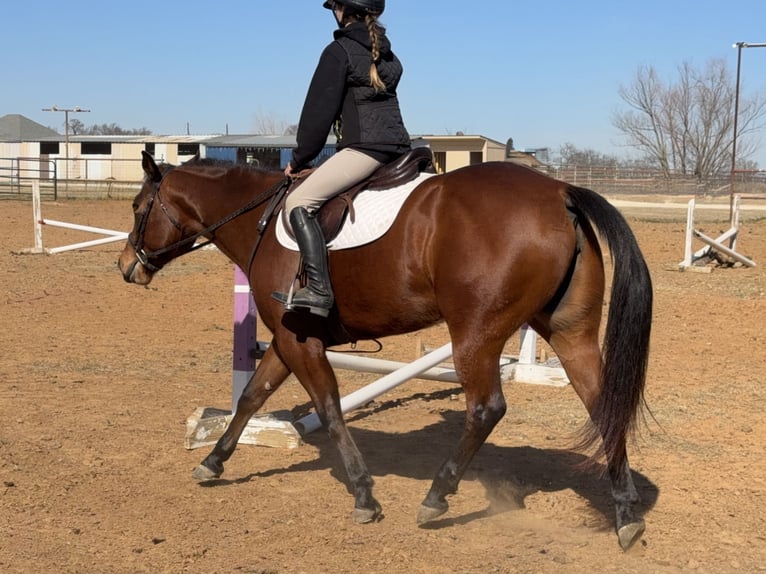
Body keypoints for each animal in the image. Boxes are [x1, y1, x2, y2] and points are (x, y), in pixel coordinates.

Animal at [118, 151, 652, 550]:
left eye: (139, 208)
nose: (126, 267)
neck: (260, 221)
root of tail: (558, 192)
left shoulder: (299, 342)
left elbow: (328, 409)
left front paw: (363, 495)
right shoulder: (287, 341)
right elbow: (252, 396)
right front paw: (213, 461)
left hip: (475, 335)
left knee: (486, 408)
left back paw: (436, 497)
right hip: (567, 332)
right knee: (602, 403)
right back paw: (626, 514)